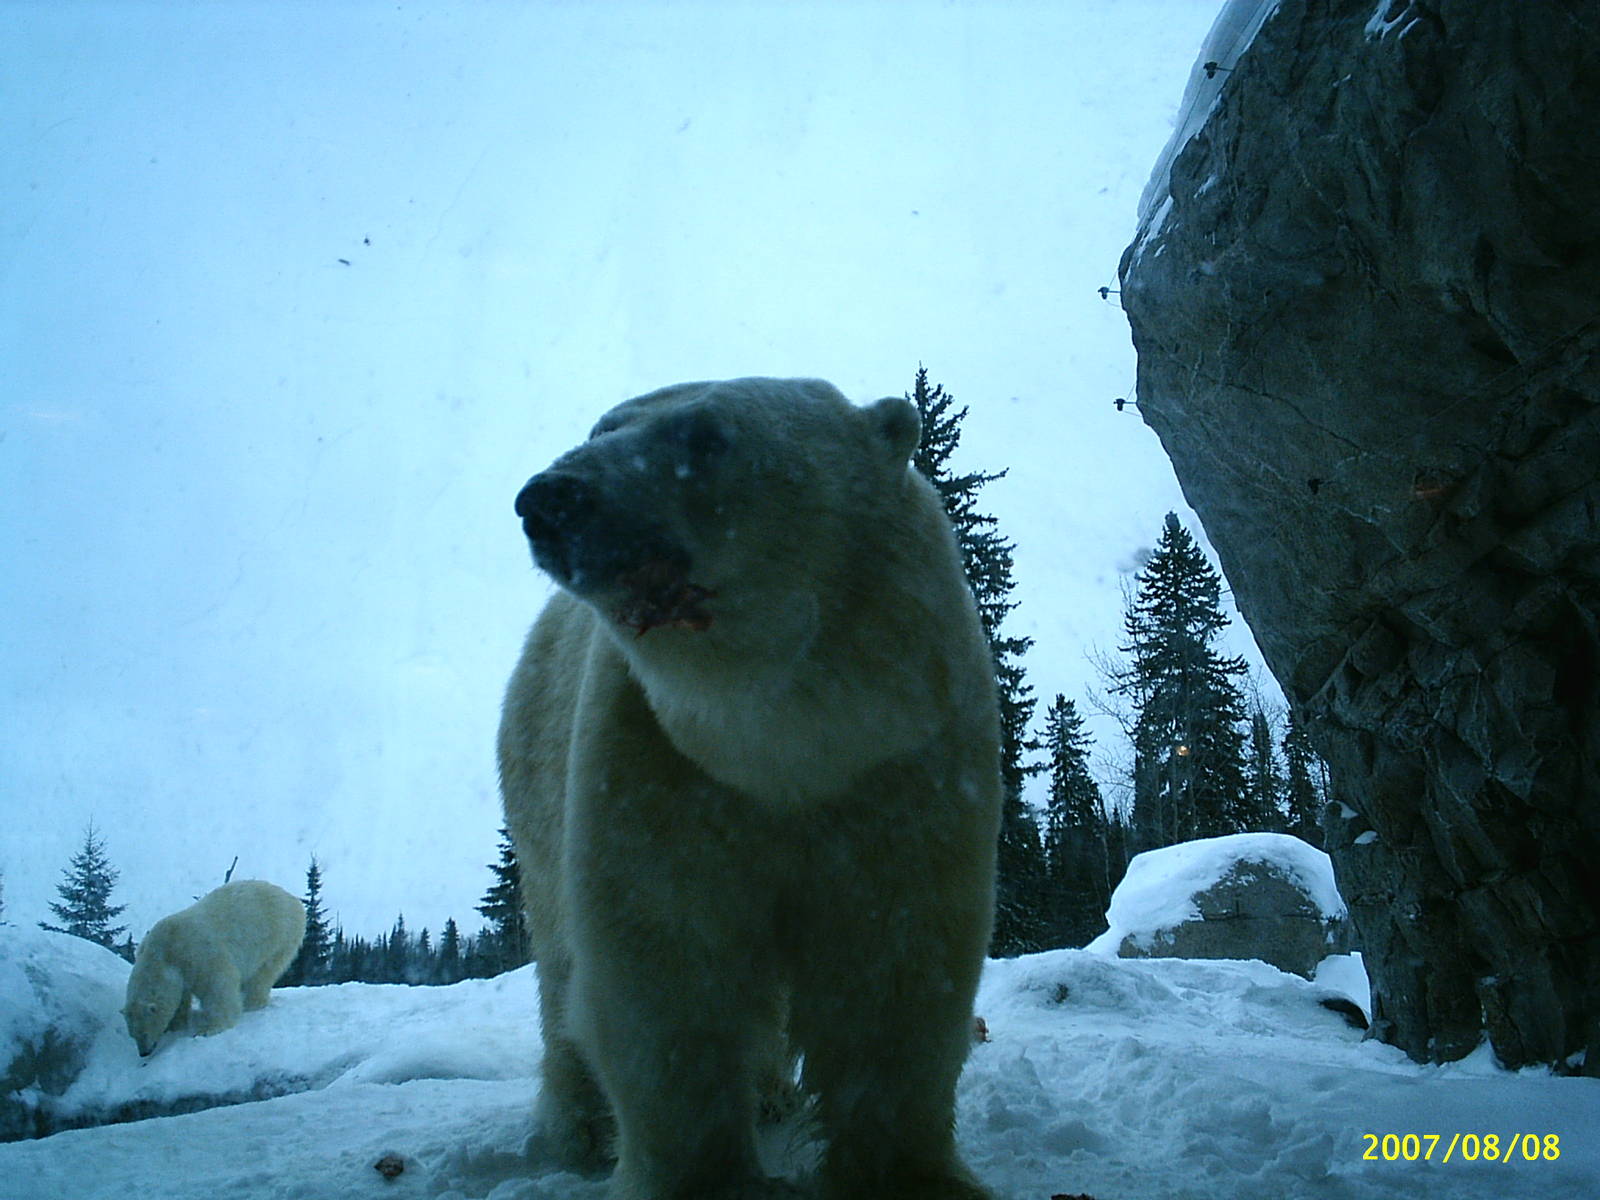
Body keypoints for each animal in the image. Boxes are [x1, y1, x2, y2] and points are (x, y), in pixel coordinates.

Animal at [122, 879, 306, 1056]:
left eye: (144, 1033)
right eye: (133, 1035)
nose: (143, 1053)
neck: (162, 951)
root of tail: (293, 900)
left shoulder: (199, 954)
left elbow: (217, 986)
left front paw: (208, 1029)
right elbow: (181, 997)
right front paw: (177, 1024)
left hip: (278, 936)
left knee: (262, 974)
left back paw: (253, 1003)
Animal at [498, 377, 1001, 1200]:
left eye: (705, 435)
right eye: (602, 426)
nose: (551, 497)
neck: (788, 745)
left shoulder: (908, 761)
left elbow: (894, 964)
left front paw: (910, 1176)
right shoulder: (655, 764)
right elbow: (666, 968)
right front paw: (705, 1178)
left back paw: (768, 1091)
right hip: (534, 789)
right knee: (559, 962)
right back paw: (580, 1128)